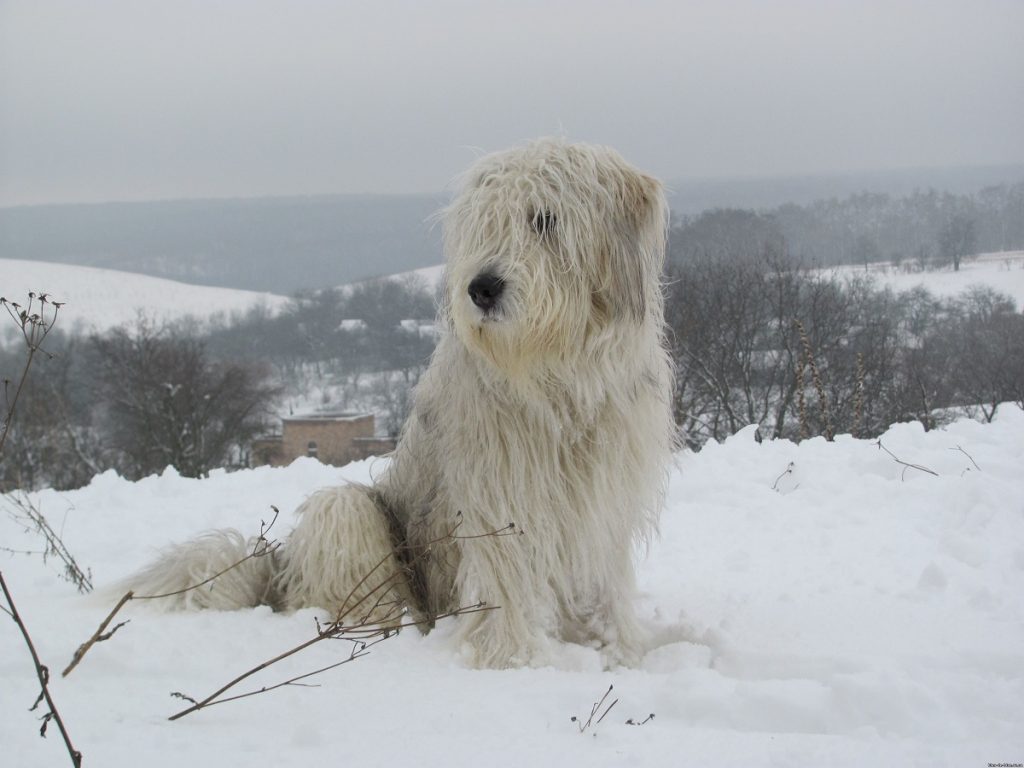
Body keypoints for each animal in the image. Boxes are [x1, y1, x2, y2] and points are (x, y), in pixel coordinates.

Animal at [125, 141, 671, 671]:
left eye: (544, 219)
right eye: (484, 224)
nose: (481, 288)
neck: (557, 374)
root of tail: (275, 577)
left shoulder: (601, 493)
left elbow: (601, 582)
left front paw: (618, 653)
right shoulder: (498, 492)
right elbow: (504, 576)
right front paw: (512, 660)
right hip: (349, 514)